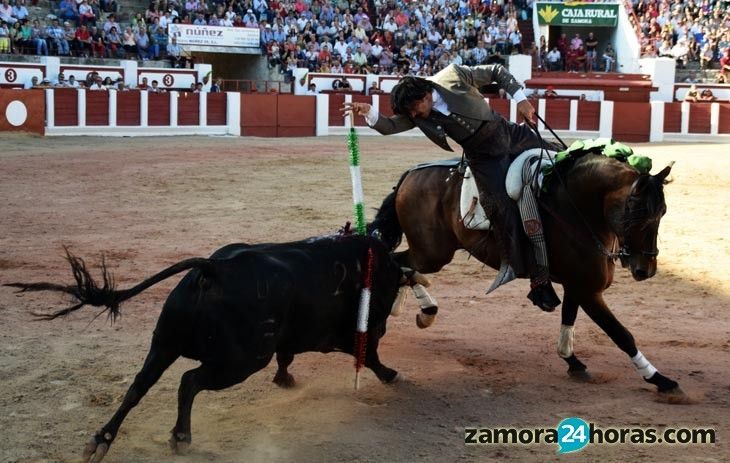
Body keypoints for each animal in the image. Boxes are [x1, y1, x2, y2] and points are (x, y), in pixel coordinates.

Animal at [5, 237, 406, 462]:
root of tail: (214, 267)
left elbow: (288, 355)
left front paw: (285, 379)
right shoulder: (360, 331)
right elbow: (369, 353)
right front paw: (391, 374)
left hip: (163, 344)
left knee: (138, 386)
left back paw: (100, 442)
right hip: (240, 362)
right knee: (189, 381)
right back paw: (181, 438)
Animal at [370, 153, 684, 398]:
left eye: (663, 212)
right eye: (637, 211)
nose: (645, 270)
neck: (575, 211)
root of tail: (411, 174)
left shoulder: (576, 286)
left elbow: (568, 319)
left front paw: (572, 361)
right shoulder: (588, 290)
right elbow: (621, 334)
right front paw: (661, 379)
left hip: (431, 253)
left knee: (404, 266)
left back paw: (416, 310)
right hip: (433, 253)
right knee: (398, 262)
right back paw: (417, 312)